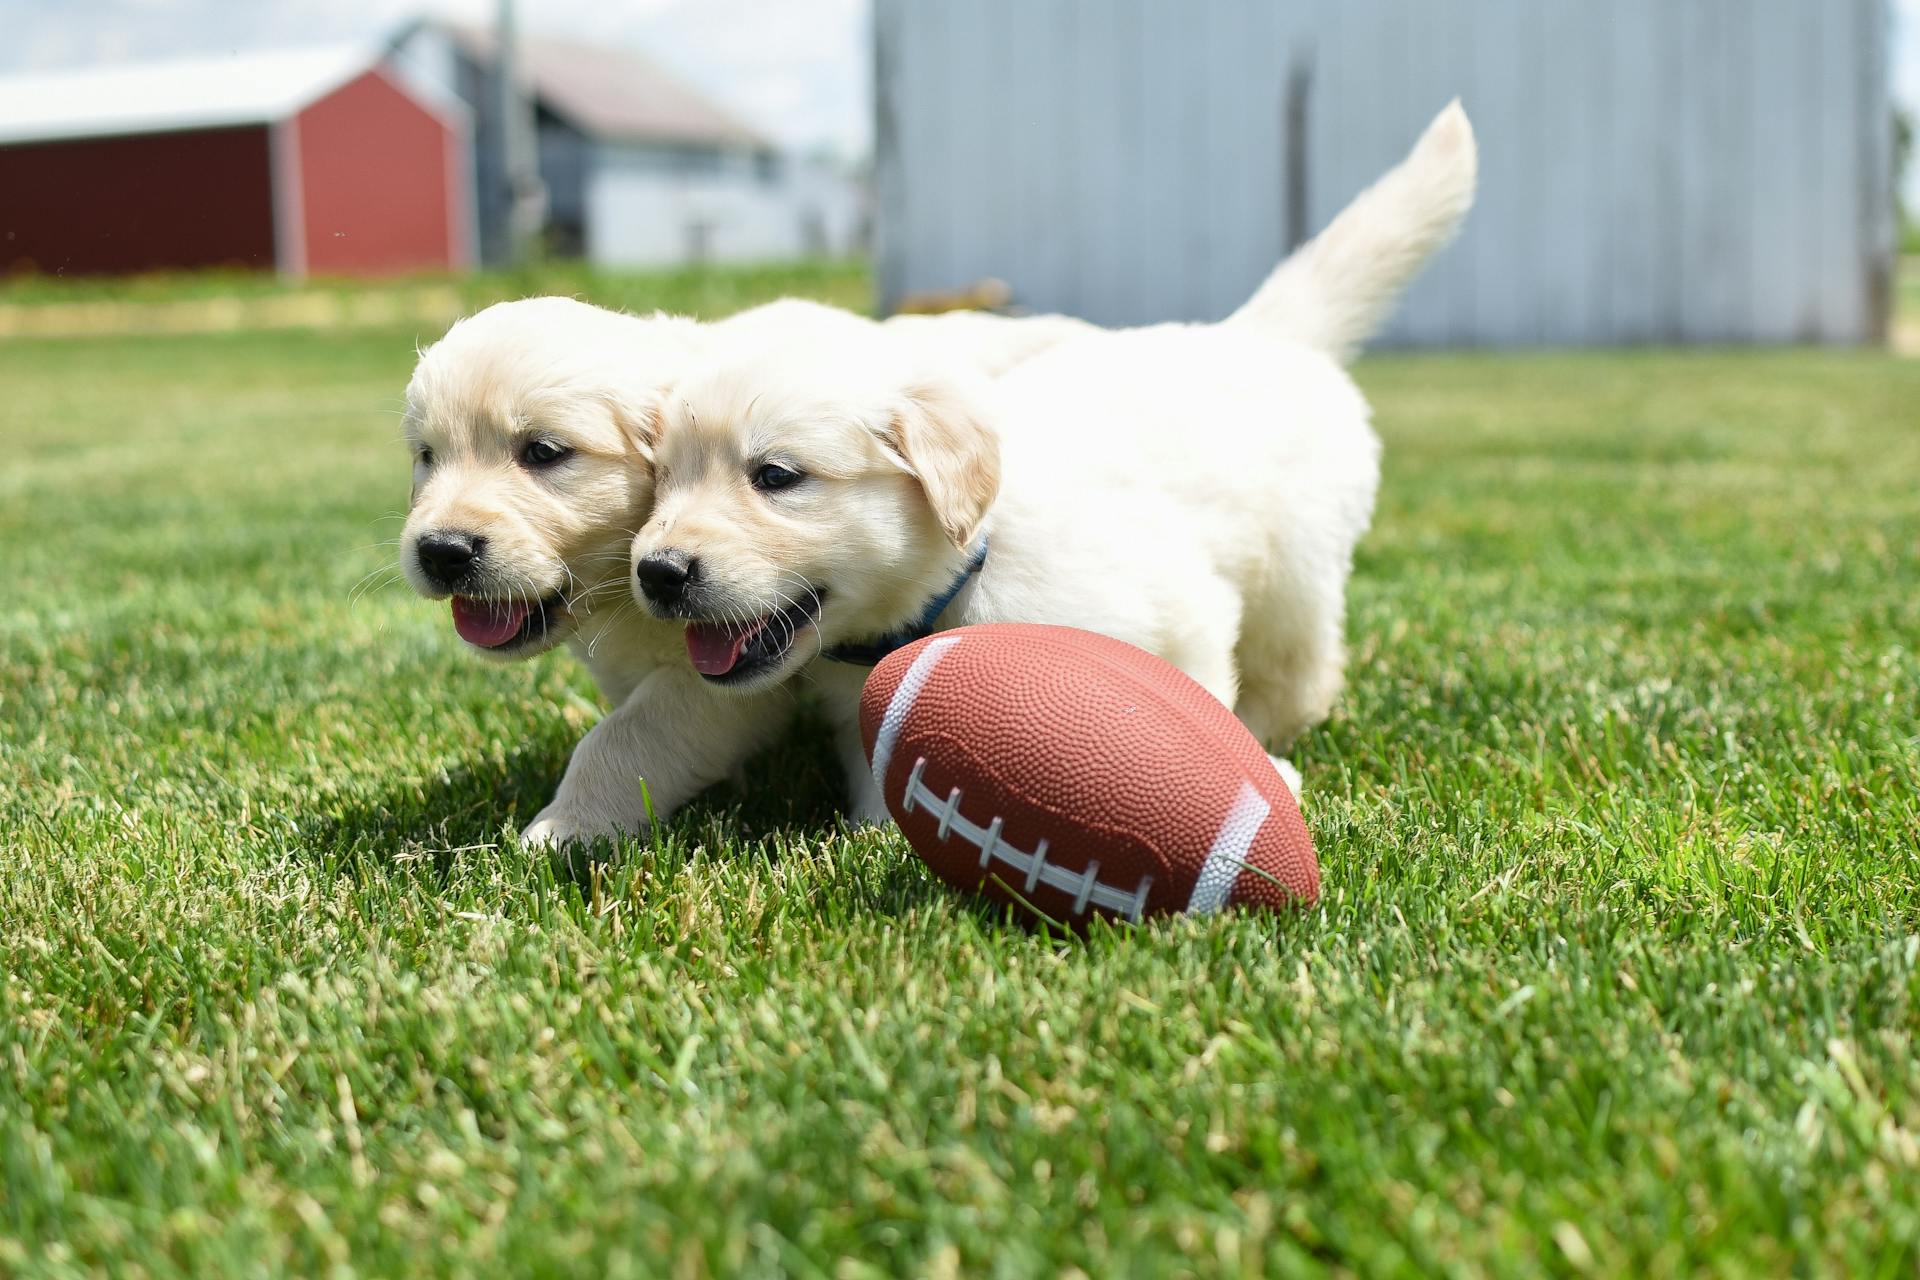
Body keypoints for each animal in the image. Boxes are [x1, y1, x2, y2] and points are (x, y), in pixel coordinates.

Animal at [395, 295, 1090, 844]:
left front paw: (564, 827)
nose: (440, 551)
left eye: (542, 452)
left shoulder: (719, 682)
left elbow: (624, 737)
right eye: (427, 455)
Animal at [602, 102, 1482, 840]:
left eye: (776, 476)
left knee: (1300, 668)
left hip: (1297, 574)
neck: (961, 578)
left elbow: (1198, 697)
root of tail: (1262, 333)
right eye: (662, 480)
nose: (658, 572)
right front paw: (877, 833)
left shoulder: (1182, 612)